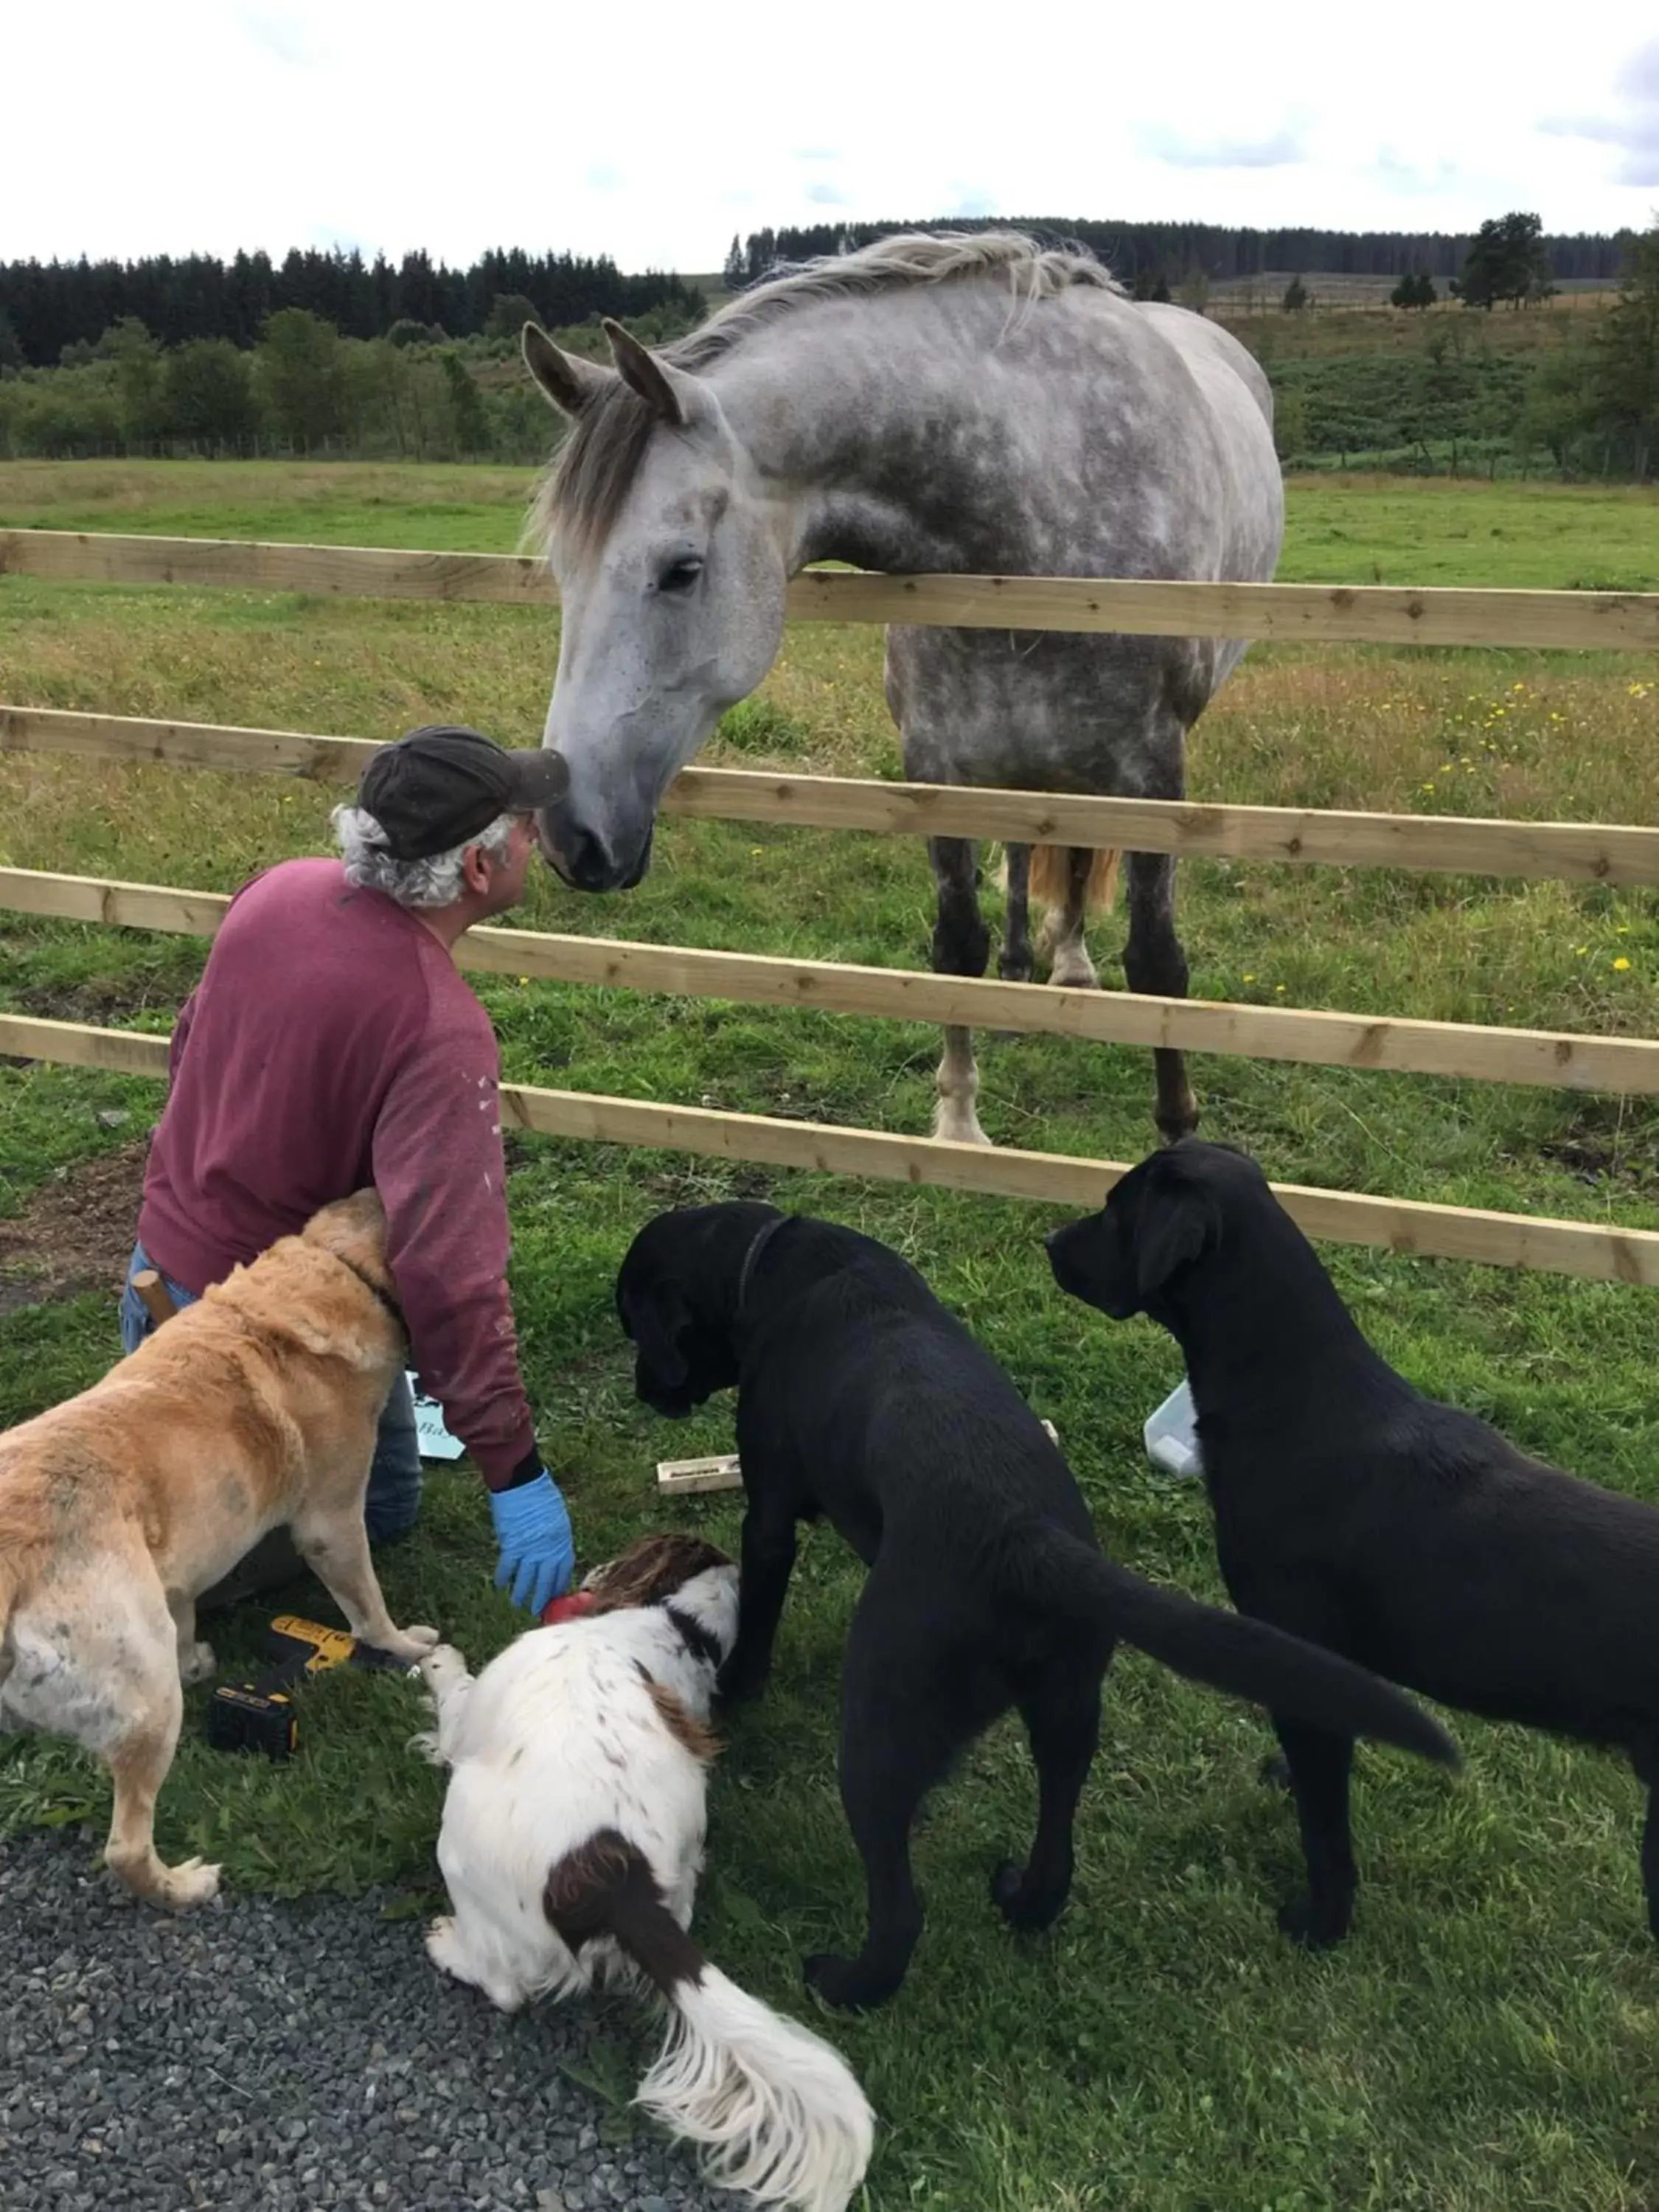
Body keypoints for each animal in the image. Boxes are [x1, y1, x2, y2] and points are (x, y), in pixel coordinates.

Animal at [520, 235, 1283, 1150]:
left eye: (682, 569)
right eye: (561, 570)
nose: (571, 835)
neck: (1037, 510)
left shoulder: (1154, 774)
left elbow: (1158, 967)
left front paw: (1178, 1132)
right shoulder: (938, 764)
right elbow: (956, 947)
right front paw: (957, 1125)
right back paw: (1036, 962)